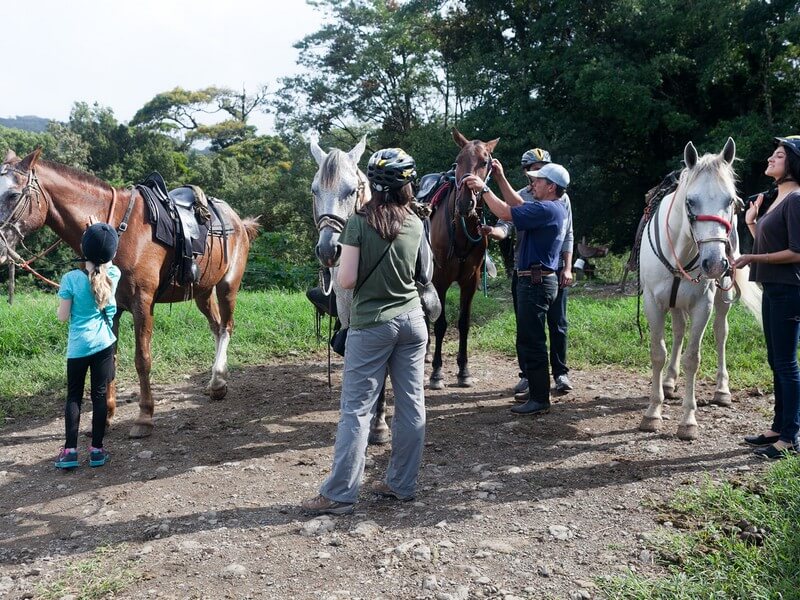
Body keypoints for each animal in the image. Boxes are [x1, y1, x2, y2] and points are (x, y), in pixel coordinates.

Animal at [0, 150, 258, 438]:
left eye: (13, 194)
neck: (113, 232)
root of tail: (238, 221)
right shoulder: (110, 308)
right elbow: (108, 359)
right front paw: (105, 417)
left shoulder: (142, 304)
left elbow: (142, 359)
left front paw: (144, 417)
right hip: (202, 290)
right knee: (215, 327)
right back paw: (216, 382)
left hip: (227, 286)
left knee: (226, 327)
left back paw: (218, 381)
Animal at [428, 128, 496, 390]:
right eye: (458, 161)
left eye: (485, 162)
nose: (466, 201)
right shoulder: (440, 280)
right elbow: (440, 323)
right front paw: (437, 372)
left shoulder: (470, 280)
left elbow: (464, 323)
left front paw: (464, 370)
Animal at [636, 139, 764, 440]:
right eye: (690, 201)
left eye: (730, 201)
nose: (715, 263)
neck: (680, 249)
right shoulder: (653, 303)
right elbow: (658, 352)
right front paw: (653, 412)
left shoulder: (702, 304)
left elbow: (693, 358)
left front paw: (688, 421)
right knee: (678, 332)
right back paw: (669, 382)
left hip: (723, 296)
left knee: (720, 333)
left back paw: (722, 390)